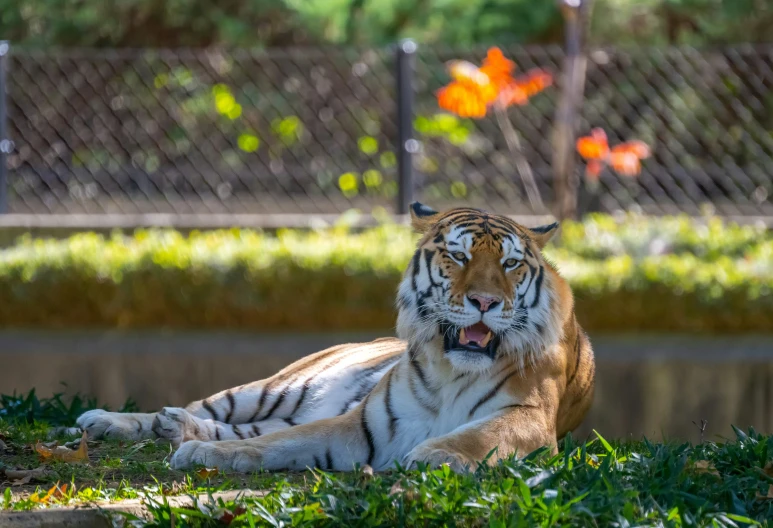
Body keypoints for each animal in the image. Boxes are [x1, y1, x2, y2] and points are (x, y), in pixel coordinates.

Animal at [75, 203, 596, 474]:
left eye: (510, 264)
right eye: (458, 256)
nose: (485, 302)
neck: (453, 370)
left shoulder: (529, 417)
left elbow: (480, 434)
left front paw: (436, 455)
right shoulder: (360, 425)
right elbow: (282, 443)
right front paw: (207, 457)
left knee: (227, 424)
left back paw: (175, 429)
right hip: (268, 389)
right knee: (211, 411)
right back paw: (110, 421)